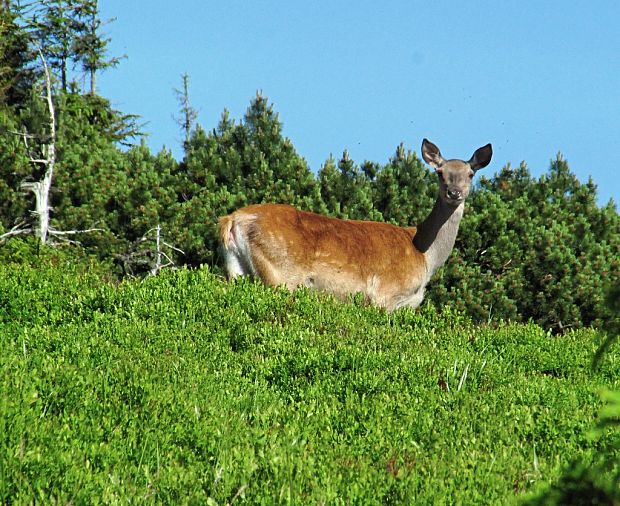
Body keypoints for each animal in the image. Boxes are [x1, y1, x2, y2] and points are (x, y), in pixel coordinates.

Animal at [220, 140, 492, 310]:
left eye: (470, 174)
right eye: (439, 173)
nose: (454, 192)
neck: (425, 257)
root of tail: (234, 220)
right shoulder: (385, 295)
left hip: (236, 268)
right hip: (280, 274)